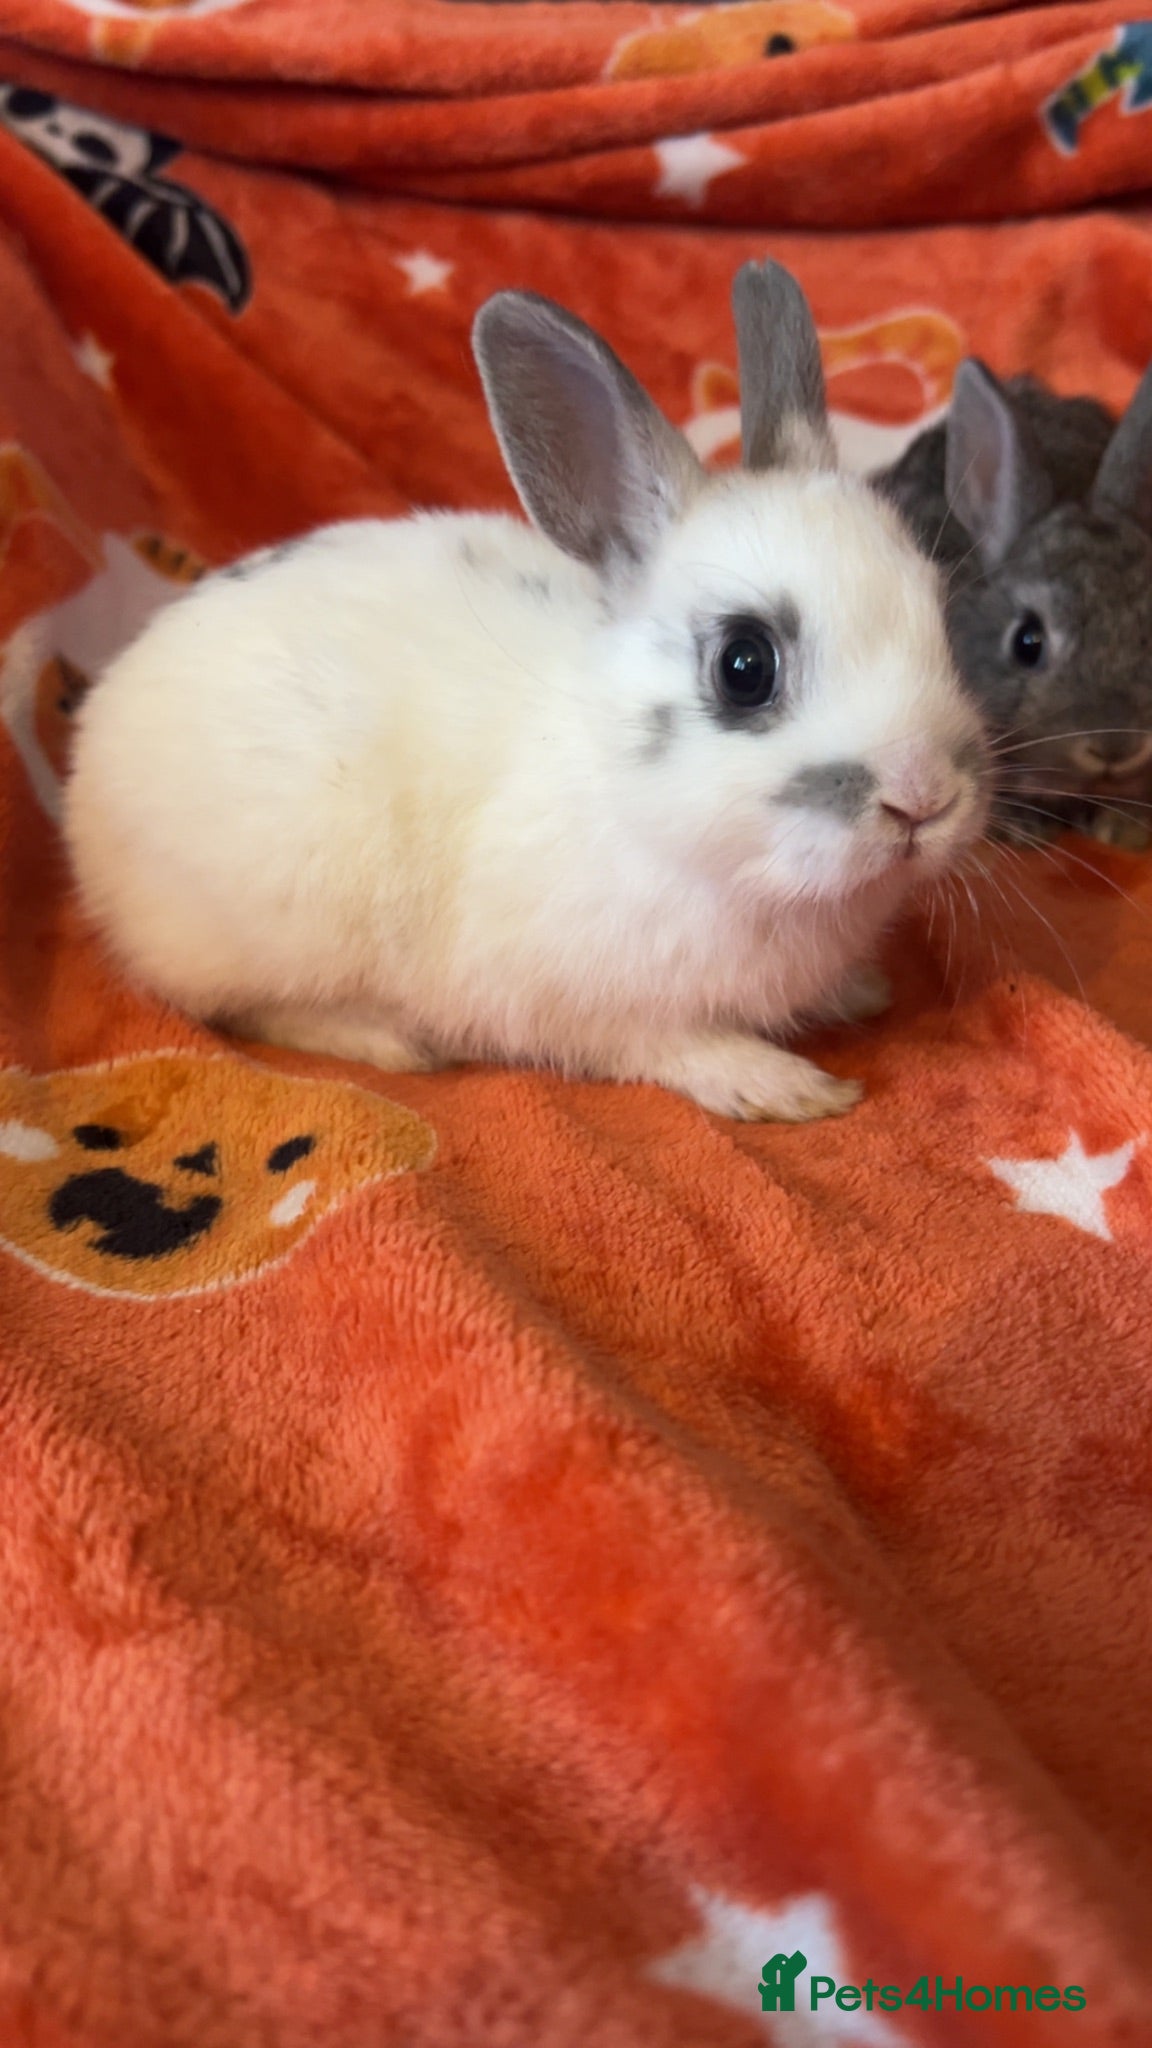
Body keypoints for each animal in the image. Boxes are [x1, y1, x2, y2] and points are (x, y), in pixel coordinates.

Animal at [64, 262, 988, 1125]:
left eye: (940, 615)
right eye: (744, 666)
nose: (923, 799)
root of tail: (85, 766)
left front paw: (858, 991)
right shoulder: (579, 1002)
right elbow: (675, 1044)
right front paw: (784, 1086)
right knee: (248, 1007)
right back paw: (390, 1040)